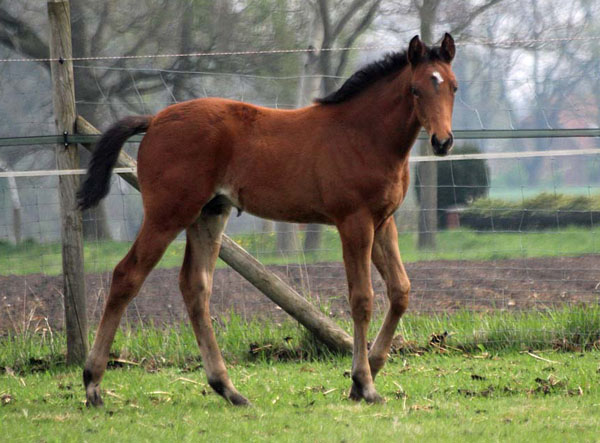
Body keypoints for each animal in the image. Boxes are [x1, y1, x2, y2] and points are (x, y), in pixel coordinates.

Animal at [78, 33, 454, 406]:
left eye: (452, 86)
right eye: (416, 89)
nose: (443, 142)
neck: (363, 134)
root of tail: (155, 120)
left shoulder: (382, 222)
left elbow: (400, 290)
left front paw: (368, 373)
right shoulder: (354, 222)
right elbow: (362, 298)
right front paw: (364, 382)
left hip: (209, 215)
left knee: (195, 286)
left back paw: (228, 388)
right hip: (167, 213)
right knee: (127, 275)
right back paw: (93, 382)